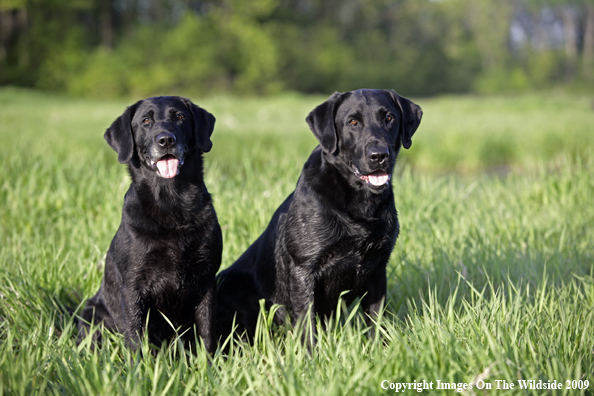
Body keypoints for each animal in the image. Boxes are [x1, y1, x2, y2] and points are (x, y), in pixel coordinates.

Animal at [76, 96, 220, 352]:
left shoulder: (206, 281)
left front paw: (210, 362)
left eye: (179, 117)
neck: (171, 201)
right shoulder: (133, 287)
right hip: (91, 315)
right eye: (145, 121)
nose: (166, 140)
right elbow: (135, 336)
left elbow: (207, 334)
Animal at [216, 88, 420, 342]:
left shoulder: (377, 269)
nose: (379, 155)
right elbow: (307, 325)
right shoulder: (303, 270)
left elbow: (375, 321)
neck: (359, 203)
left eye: (389, 118)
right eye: (353, 122)